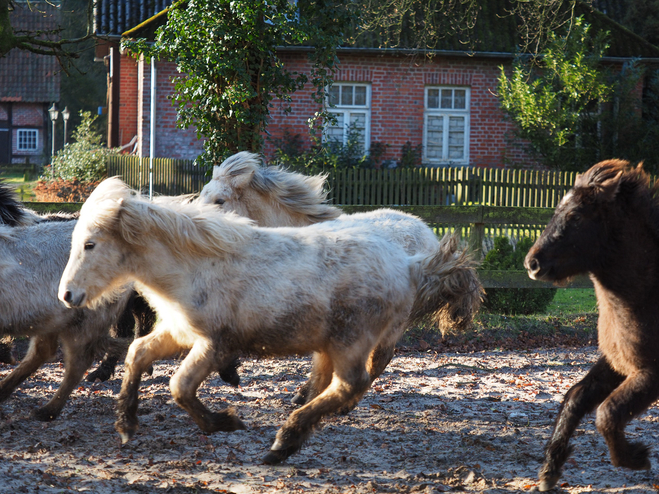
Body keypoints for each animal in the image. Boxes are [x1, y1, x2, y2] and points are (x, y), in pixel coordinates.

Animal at [59, 178, 482, 464]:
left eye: (90, 244)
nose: (67, 295)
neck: (194, 266)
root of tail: (410, 264)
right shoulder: (179, 333)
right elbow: (138, 354)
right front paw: (126, 424)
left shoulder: (216, 343)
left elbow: (179, 386)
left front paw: (225, 422)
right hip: (332, 342)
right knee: (333, 380)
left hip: (353, 341)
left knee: (354, 382)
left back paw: (285, 441)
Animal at [524, 161, 659, 490]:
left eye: (575, 216)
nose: (532, 264)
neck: (648, 295)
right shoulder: (617, 364)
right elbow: (576, 397)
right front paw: (549, 471)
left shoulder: (651, 372)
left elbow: (607, 413)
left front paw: (636, 457)